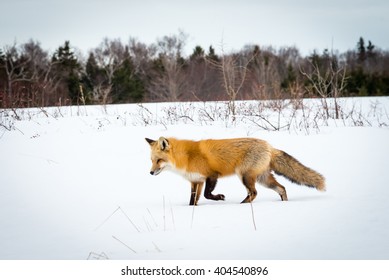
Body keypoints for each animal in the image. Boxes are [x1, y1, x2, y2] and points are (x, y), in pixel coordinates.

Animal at [144, 137, 322, 206]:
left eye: (158, 160)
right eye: (152, 160)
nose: (151, 173)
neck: (186, 157)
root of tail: (269, 146)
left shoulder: (212, 175)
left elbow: (208, 194)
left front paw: (220, 197)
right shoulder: (196, 181)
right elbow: (193, 200)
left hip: (245, 176)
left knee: (254, 193)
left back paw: (242, 205)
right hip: (263, 178)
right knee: (282, 188)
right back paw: (284, 204)